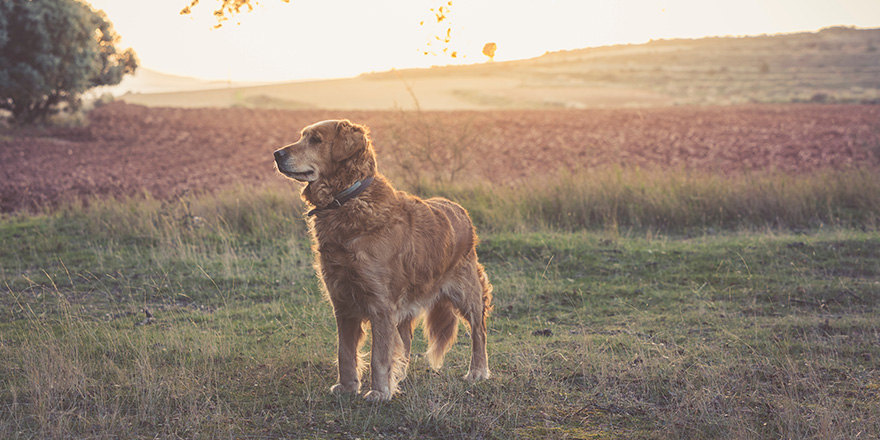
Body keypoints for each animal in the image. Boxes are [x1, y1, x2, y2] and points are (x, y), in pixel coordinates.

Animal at [274, 118, 492, 400]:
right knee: (406, 340)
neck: (348, 201)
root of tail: (459, 209)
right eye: (302, 136)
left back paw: (477, 371)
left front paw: (379, 392)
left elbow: (379, 355)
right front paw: (348, 386)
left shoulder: (380, 305)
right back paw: (401, 376)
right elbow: (345, 352)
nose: (276, 154)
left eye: (316, 140)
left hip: (467, 293)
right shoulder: (342, 302)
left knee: (479, 331)